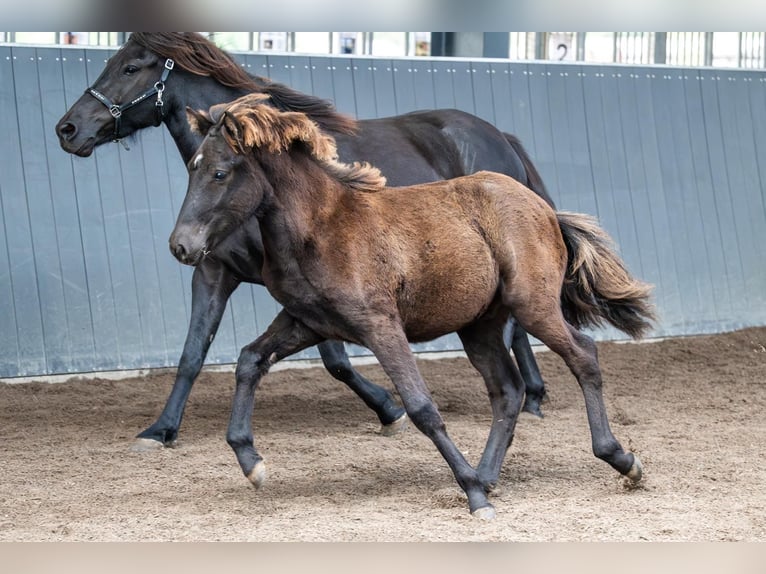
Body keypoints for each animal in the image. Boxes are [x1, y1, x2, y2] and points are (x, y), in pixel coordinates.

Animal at [55, 32, 554, 451]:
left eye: (129, 67)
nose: (68, 129)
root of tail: (499, 136)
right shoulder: (214, 270)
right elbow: (193, 352)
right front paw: (160, 430)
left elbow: (336, 360)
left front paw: (388, 409)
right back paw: (531, 394)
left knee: (516, 319)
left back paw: (531, 395)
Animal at [169, 93, 655, 518]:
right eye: (191, 168)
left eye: (220, 173)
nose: (181, 245)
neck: (321, 227)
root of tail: (547, 210)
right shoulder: (308, 322)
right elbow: (250, 361)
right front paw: (251, 462)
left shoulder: (380, 325)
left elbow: (421, 407)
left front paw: (475, 499)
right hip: (479, 326)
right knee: (507, 390)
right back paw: (487, 475)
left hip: (533, 305)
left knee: (582, 356)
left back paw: (620, 460)